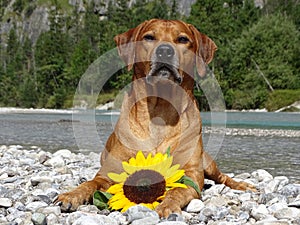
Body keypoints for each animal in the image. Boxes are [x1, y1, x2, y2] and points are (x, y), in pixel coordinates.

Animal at [54, 19, 255, 218]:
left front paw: (167, 206)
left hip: (207, 162)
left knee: (223, 177)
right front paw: (71, 195)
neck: (160, 110)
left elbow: (178, 190)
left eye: (183, 39)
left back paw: (243, 185)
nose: (165, 50)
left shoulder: (191, 173)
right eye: (149, 37)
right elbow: (90, 183)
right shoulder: (109, 173)